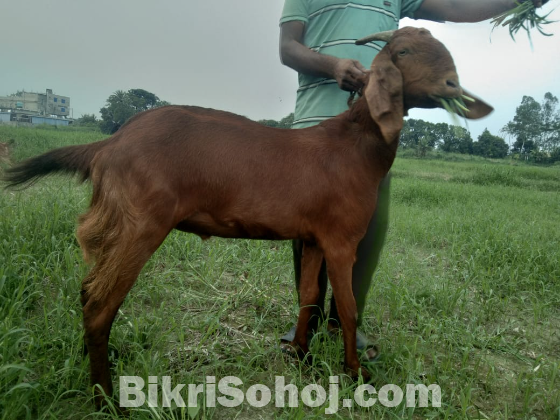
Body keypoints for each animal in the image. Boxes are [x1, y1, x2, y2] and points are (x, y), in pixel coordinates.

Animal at [4, 27, 492, 406]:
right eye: (403, 52)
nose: (453, 86)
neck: (354, 145)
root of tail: (107, 145)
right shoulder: (341, 238)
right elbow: (349, 309)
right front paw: (356, 375)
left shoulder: (313, 236)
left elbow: (308, 295)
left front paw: (301, 356)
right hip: (141, 222)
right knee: (100, 303)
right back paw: (107, 398)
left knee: (88, 290)